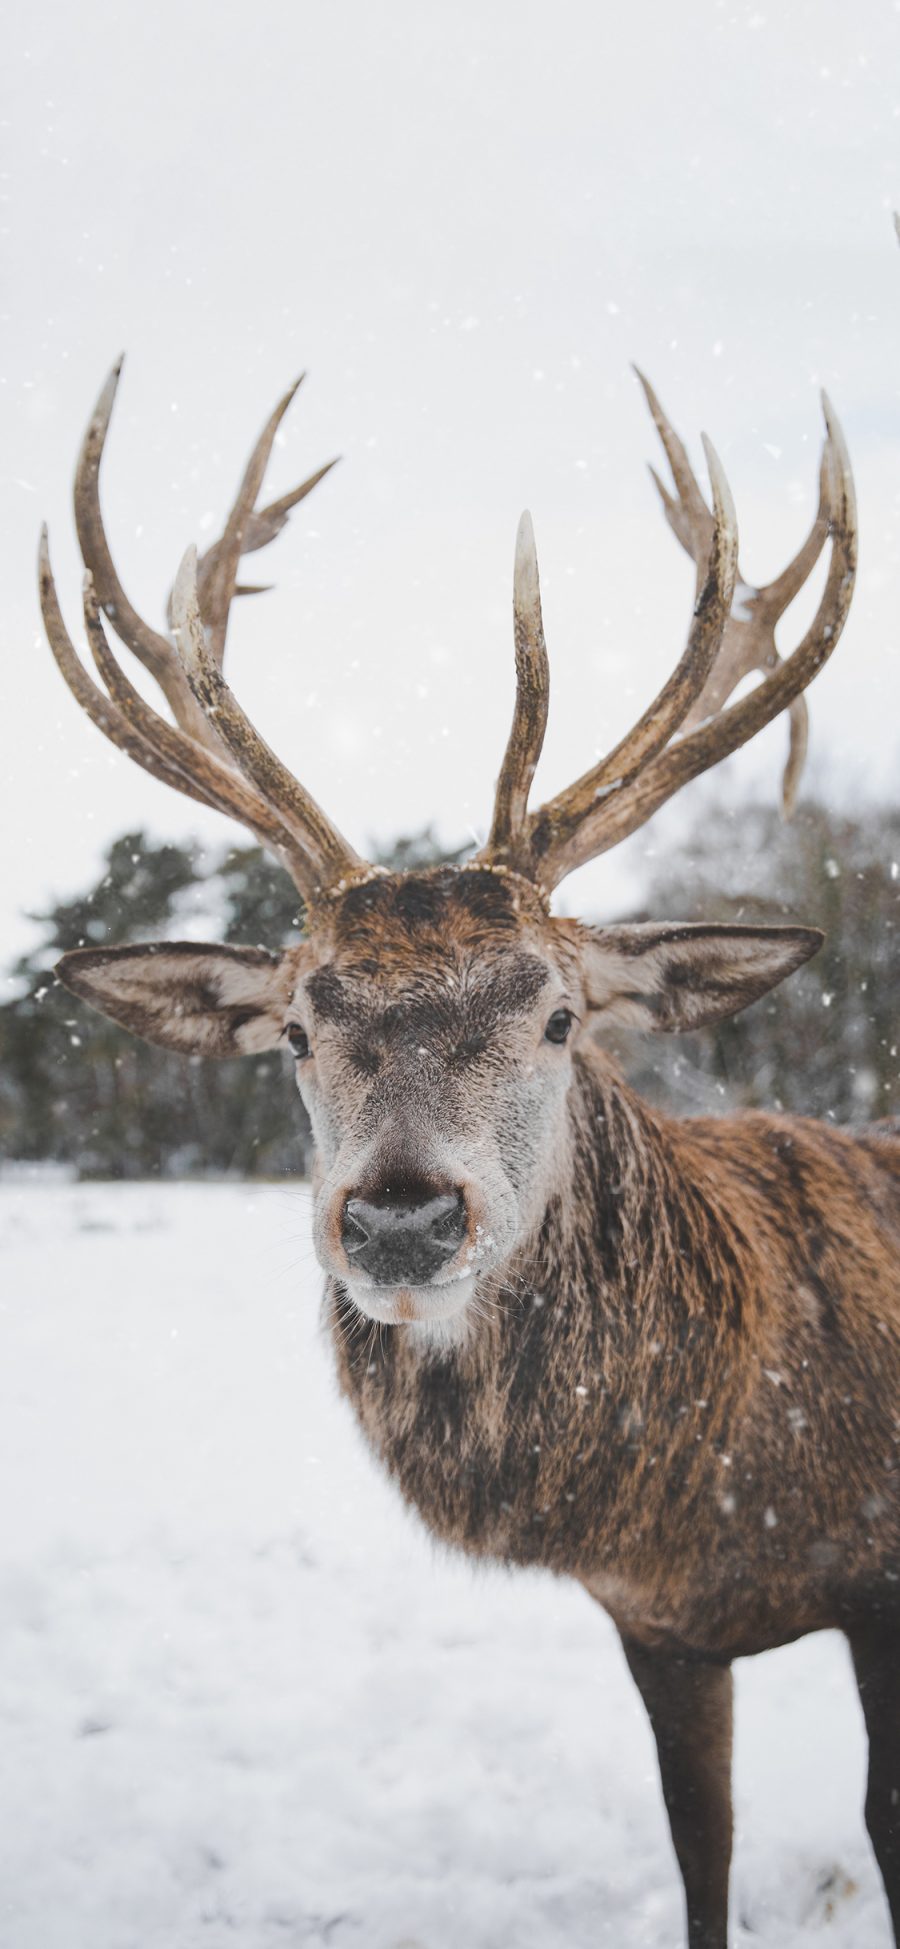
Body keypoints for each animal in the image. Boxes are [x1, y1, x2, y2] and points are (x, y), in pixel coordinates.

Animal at [42, 366, 900, 1949]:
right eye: (298, 1028)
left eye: (558, 1013)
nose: (399, 1219)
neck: (727, 1485)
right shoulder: (659, 1623)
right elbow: (703, 1845)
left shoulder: (878, 1580)